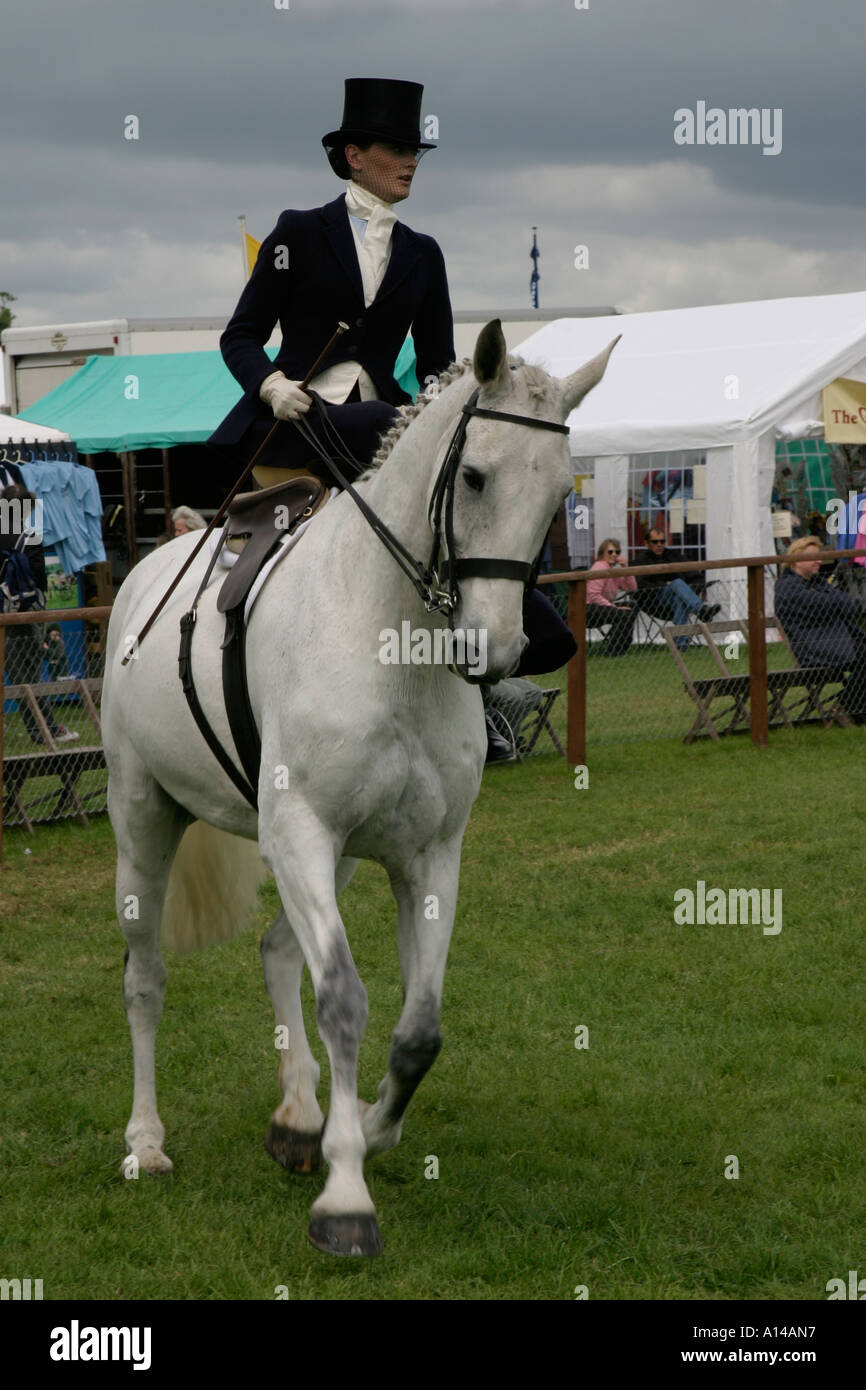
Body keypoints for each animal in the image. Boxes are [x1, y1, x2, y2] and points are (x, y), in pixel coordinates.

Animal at [100, 319, 617, 1256]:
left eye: (563, 489)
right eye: (475, 475)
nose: (492, 649)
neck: (390, 639)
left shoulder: (427, 855)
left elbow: (419, 1030)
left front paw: (369, 1127)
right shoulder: (303, 830)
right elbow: (344, 998)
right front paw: (345, 1197)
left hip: (322, 856)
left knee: (276, 950)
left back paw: (300, 1116)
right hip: (147, 823)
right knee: (145, 978)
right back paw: (146, 1144)